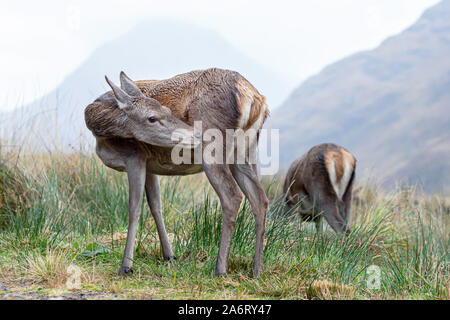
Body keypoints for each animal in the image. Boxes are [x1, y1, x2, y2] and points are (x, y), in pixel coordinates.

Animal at [83, 68, 268, 278]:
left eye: (168, 111)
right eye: (153, 117)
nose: (195, 135)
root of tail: (255, 99)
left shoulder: (134, 156)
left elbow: (134, 208)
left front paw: (126, 266)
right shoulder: (149, 164)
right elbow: (156, 205)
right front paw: (169, 255)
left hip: (213, 150)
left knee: (232, 196)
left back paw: (220, 270)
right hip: (245, 152)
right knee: (260, 199)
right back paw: (257, 270)